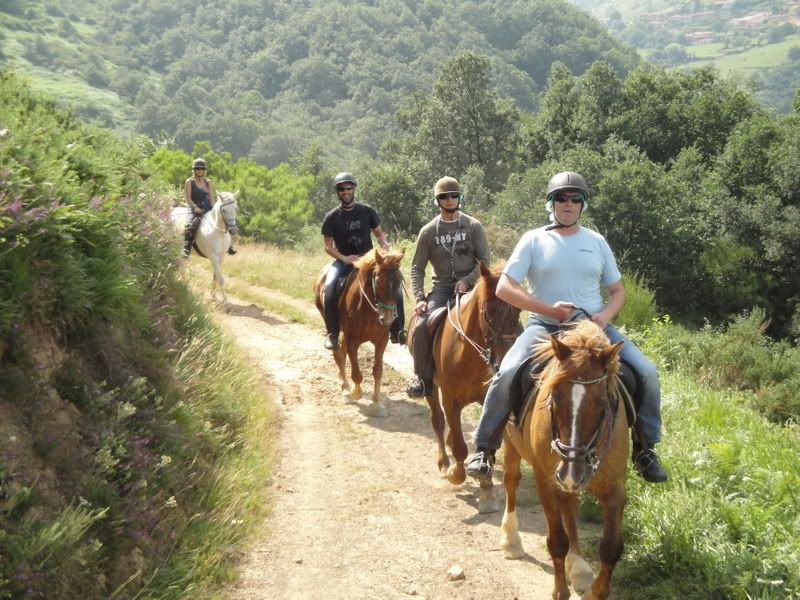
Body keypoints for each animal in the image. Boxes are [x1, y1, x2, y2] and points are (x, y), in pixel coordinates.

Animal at [314, 247, 406, 418]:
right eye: (378, 281)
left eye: (399, 282)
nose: (388, 319)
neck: (369, 308)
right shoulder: (353, 340)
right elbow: (356, 373)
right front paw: (356, 393)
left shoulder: (381, 341)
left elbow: (377, 371)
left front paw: (377, 404)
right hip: (334, 328)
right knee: (338, 355)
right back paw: (345, 391)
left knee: (342, 354)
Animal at [410, 264, 520, 512]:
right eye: (489, 312)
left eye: (519, 312)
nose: (505, 361)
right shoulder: (450, 399)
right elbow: (460, 446)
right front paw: (456, 474)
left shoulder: (490, 398)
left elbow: (487, 443)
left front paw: (486, 487)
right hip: (431, 389)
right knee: (439, 422)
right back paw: (444, 464)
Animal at [500, 322, 624, 600]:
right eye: (554, 397)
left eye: (602, 403)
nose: (570, 472)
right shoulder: (546, 482)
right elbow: (557, 542)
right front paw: (560, 591)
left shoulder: (615, 488)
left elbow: (611, 548)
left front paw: (595, 591)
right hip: (512, 446)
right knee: (511, 482)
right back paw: (512, 540)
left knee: (570, 506)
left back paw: (577, 567)